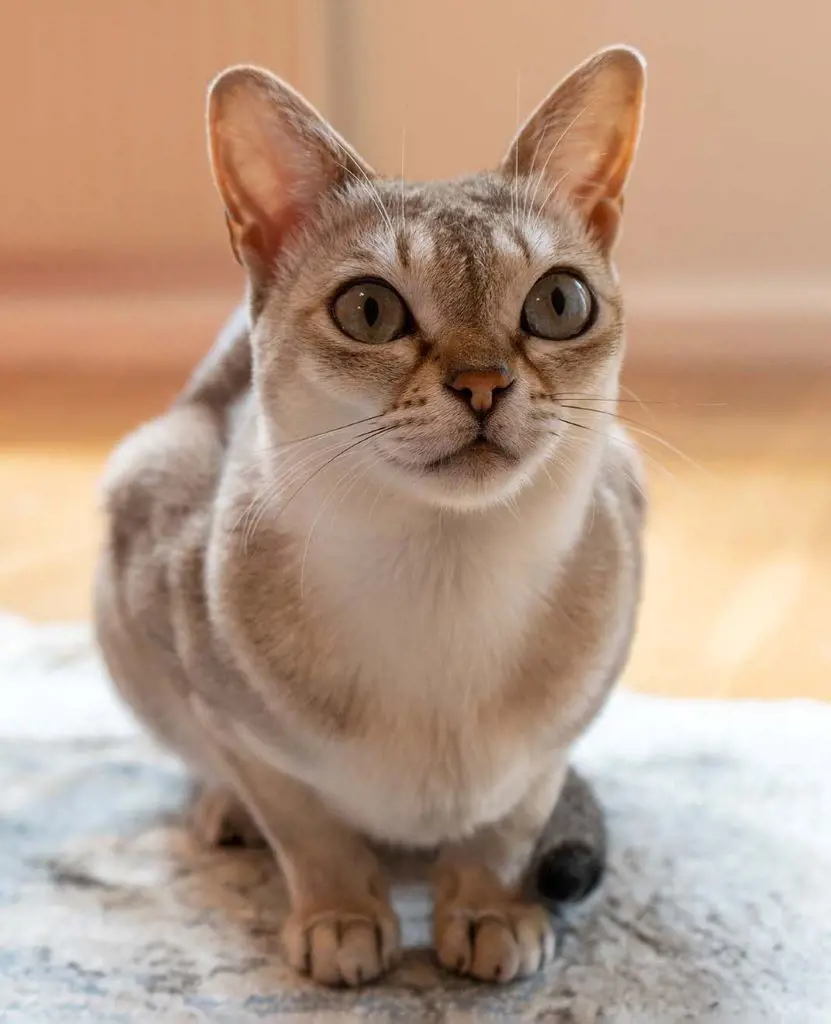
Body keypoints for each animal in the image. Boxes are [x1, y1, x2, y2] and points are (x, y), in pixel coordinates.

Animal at [94, 46, 646, 983]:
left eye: (558, 303)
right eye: (369, 311)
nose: (484, 384)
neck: (446, 589)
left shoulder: (560, 735)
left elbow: (507, 827)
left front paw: (488, 911)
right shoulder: (226, 710)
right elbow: (308, 830)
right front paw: (342, 920)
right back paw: (225, 815)